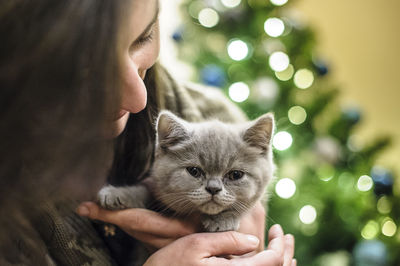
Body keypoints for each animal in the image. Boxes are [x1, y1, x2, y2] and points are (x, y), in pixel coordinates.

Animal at [98, 110, 274, 233]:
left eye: (235, 175)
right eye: (194, 171)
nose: (213, 189)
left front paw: (223, 220)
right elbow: (143, 190)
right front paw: (116, 194)